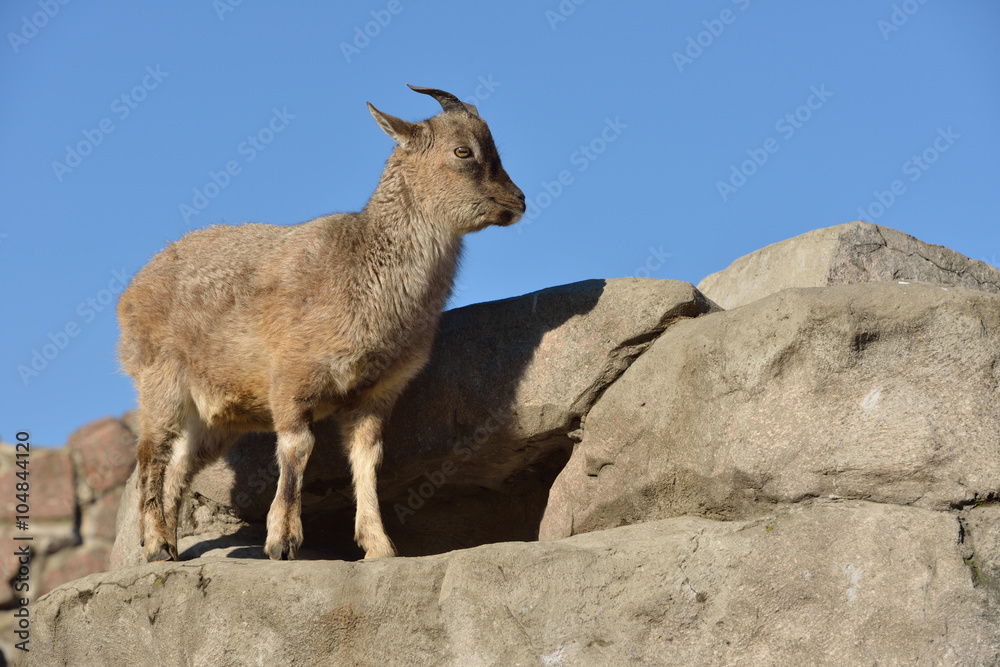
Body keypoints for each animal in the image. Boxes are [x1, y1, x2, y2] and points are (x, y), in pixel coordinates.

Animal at [117, 85, 528, 564]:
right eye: (463, 151)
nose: (518, 201)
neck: (366, 271)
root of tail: (132, 292)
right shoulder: (292, 377)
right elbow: (298, 448)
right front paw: (282, 541)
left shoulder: (376, 393)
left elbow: (368, 459)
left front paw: (379, 545)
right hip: (160, 379)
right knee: (152, 453)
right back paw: (157, 544)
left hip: (213, 415)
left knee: (181, 464)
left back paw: (171, 545)